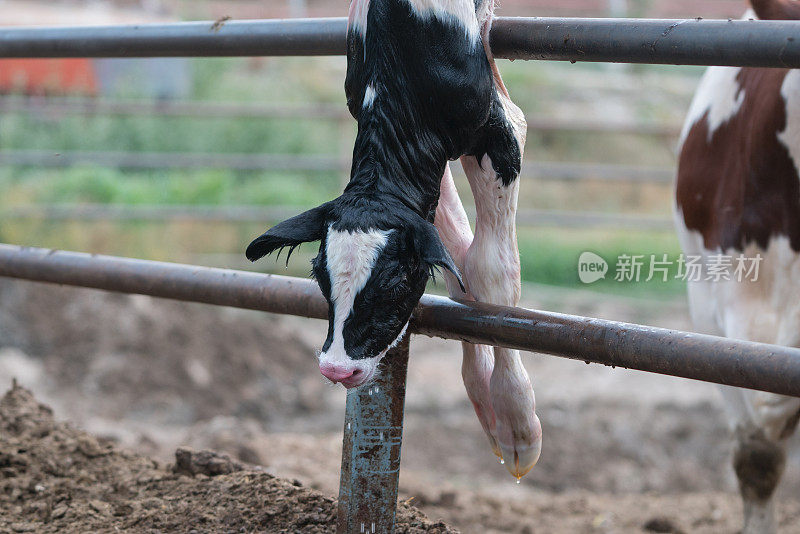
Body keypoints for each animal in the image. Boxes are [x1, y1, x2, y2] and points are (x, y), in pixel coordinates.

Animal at [247, 0, 540, 480]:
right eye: (320, 277)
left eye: (395, 284)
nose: (337, 370)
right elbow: (457, 262)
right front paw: (483, 400)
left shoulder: (499, 131)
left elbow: (489, 270)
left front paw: (516, 423)